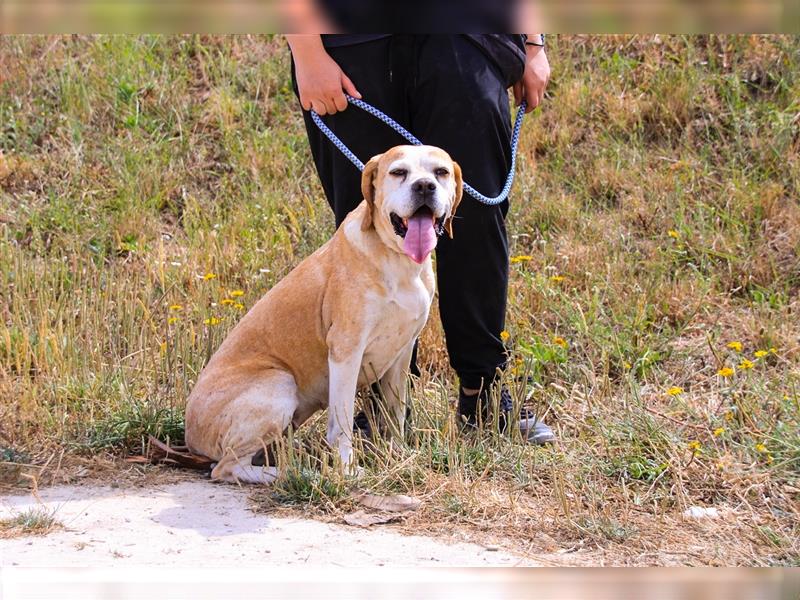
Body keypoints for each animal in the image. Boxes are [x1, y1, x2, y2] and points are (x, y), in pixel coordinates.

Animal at [184, 145, 462, 482]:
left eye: (440, 172)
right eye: (399, 172)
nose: (424, 187)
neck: (398, 261)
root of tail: (190, 433)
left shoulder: (402, 353)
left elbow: (395, 413)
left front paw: (398, 455)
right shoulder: (346, 350)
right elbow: (341, 422)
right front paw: (347, 470)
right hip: (279, 383)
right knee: (226, 468)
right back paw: (301, 474)